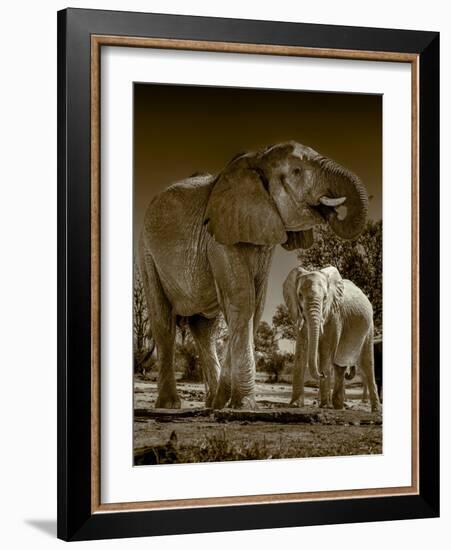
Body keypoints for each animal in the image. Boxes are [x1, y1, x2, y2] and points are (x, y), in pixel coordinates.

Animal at [139, 142, 370, 410]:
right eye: (297, 171)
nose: (330, 211)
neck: (257, 159)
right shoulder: (220, 236)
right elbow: (243, 300)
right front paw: (244, 405)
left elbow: (255, 304)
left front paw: (227, 402)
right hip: (147, 254)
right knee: (163, 321)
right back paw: (170, 405)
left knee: (204, 330)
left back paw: (211, 403)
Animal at [286, 268, 382, 414]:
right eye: (300, 295)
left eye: (325, 297)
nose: (321, 374)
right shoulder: (299, 312)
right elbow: (301, 348)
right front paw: (295, 405)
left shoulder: (335, 314)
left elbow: (326, 350)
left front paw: (324, 406)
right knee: (339, 365)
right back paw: (338, 406)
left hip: (369, 326)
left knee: (367, 362)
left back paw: (376, 410)